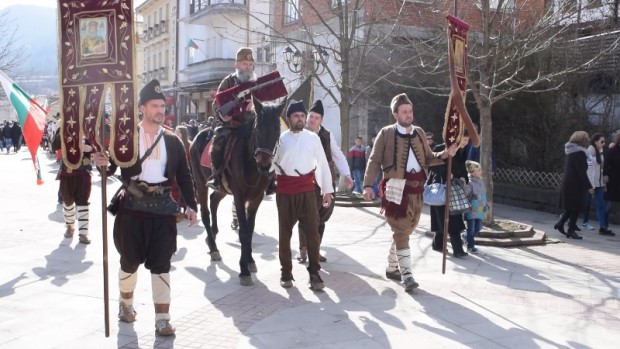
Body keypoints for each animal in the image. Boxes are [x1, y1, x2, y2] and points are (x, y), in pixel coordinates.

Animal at [190, 99, 284, 284]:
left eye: (278, 130)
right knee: (205, 213)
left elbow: (250, 229)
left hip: (223, 189)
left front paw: (250, 260)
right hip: (201, 183)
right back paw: (214, 248)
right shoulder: (240, 197)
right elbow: (243, 232)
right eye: (258, 129)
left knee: (214, 200)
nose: (264, 164)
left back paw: (212, 236)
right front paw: (244, 270)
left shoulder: (256, 199)